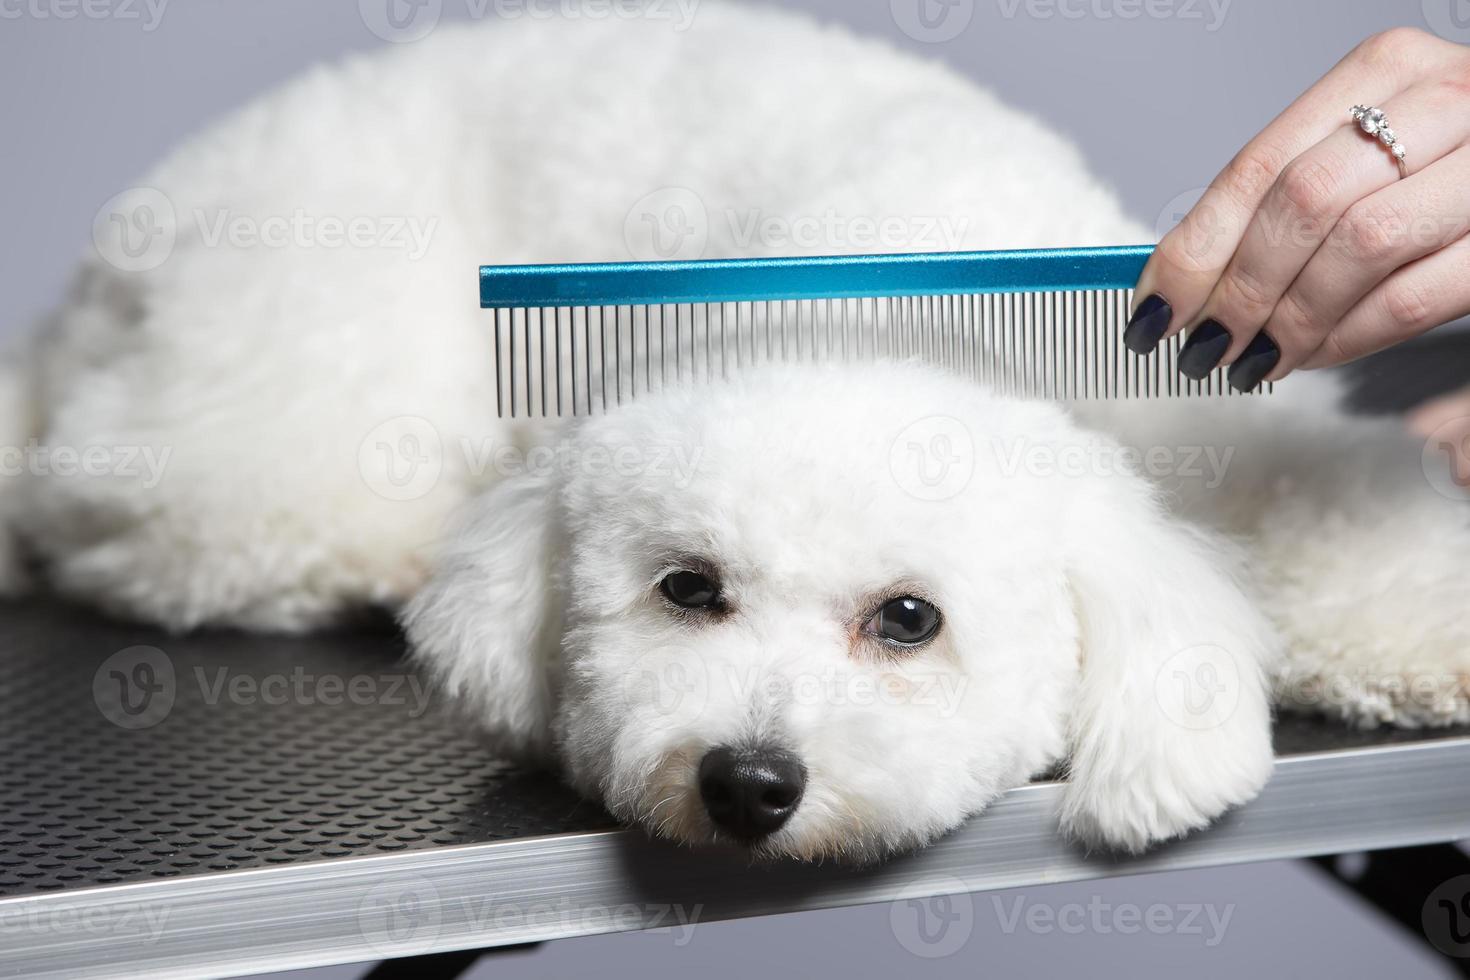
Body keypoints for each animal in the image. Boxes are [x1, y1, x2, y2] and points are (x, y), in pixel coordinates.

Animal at [2, 3, 1470, 863]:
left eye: (909, 619)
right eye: (687, 589)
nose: (748, 782)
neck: (887, 277)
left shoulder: (1182, 394)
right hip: (299, 354)